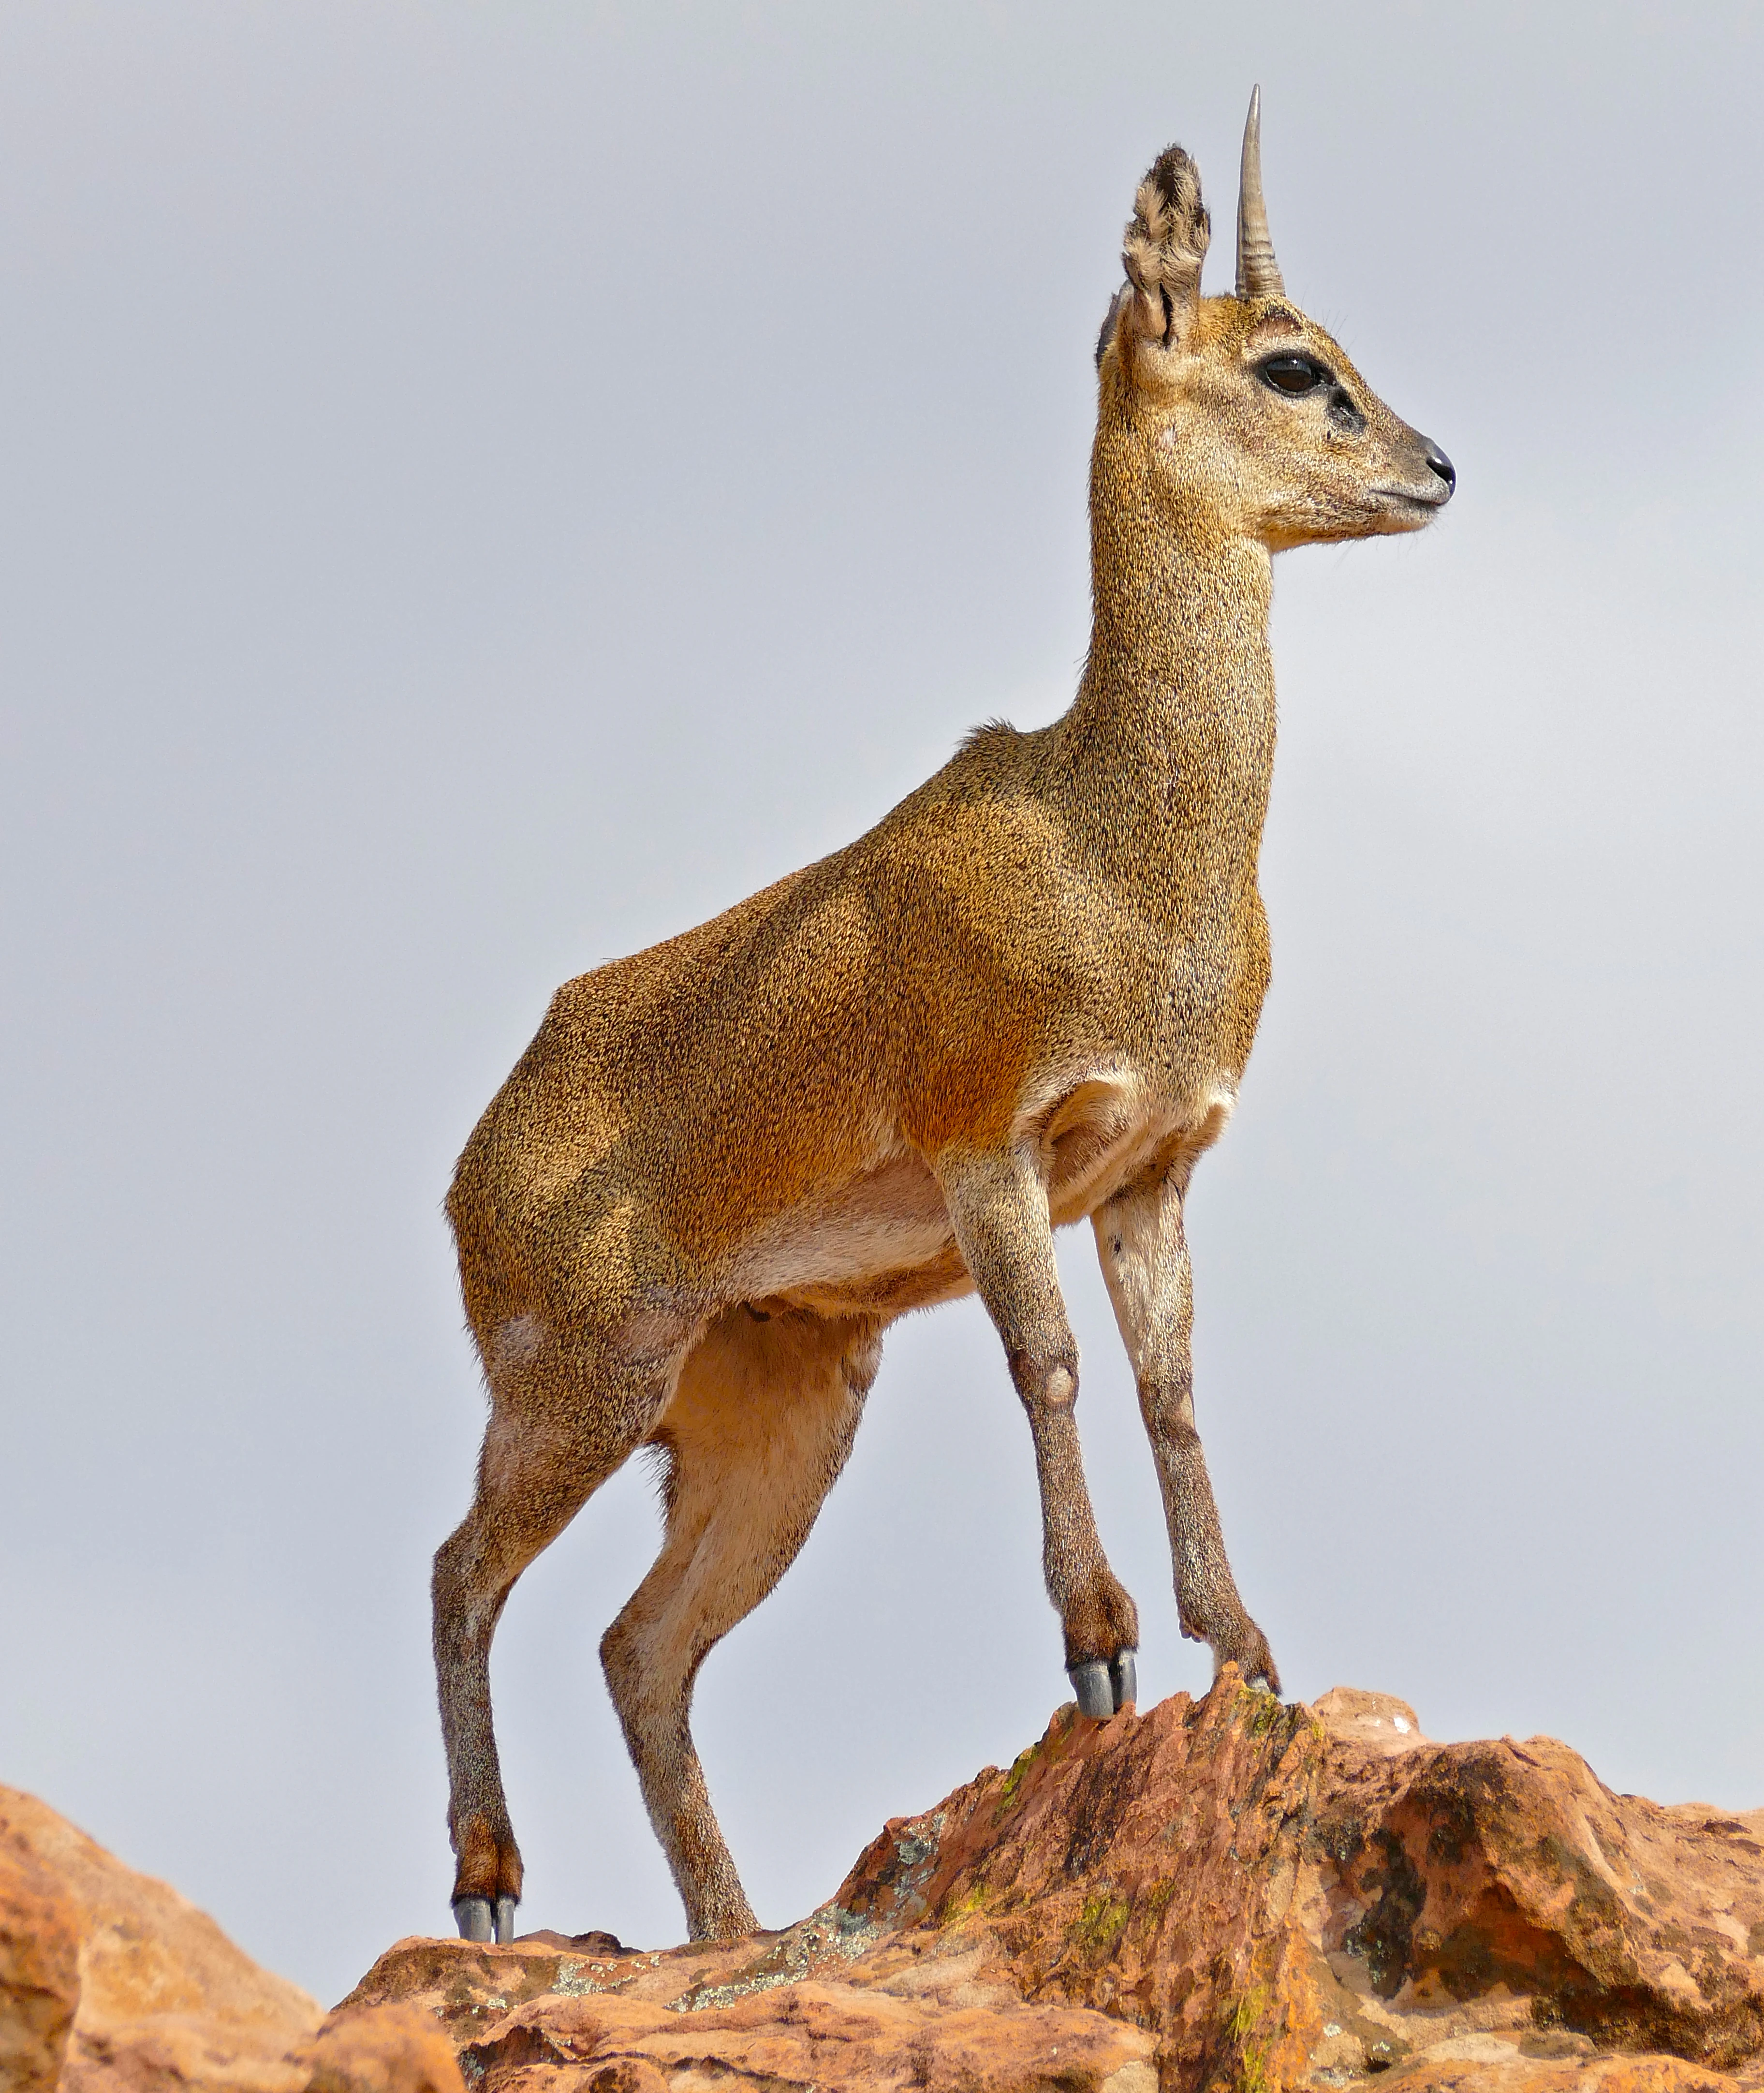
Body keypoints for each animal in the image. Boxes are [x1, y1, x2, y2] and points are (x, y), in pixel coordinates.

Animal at [432, 91, 1455, 1947]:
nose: (1433, 466)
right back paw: (487, 1887)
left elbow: (1172, 1387)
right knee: (460, 1572)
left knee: (638, 1645)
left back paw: (729, 1927)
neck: (1118, 849)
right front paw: (1099, 1644)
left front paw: (1243, 1651)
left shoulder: (1151, 1164)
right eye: (1290, 364)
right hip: (579, 1377)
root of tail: (472, 1154)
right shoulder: (991, 1142)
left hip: (778, 1406)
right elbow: (1048, 1364)